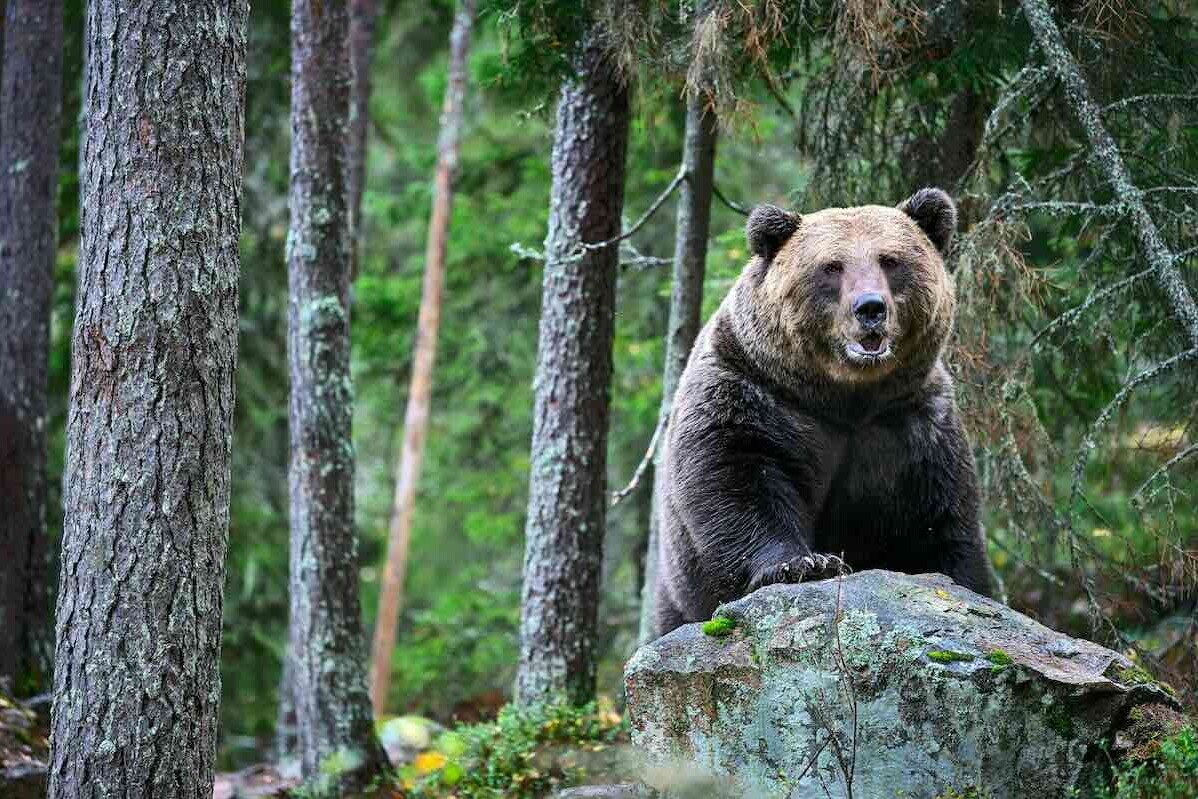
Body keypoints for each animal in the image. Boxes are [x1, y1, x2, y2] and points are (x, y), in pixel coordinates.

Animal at [653, 188, 995, 637]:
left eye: (890, 260)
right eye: (832, 266)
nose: (870, 308)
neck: (845, 398)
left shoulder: (913, 427)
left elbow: (940, 521)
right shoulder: (751, 393)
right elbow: (736, 478)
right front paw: (804, 563)